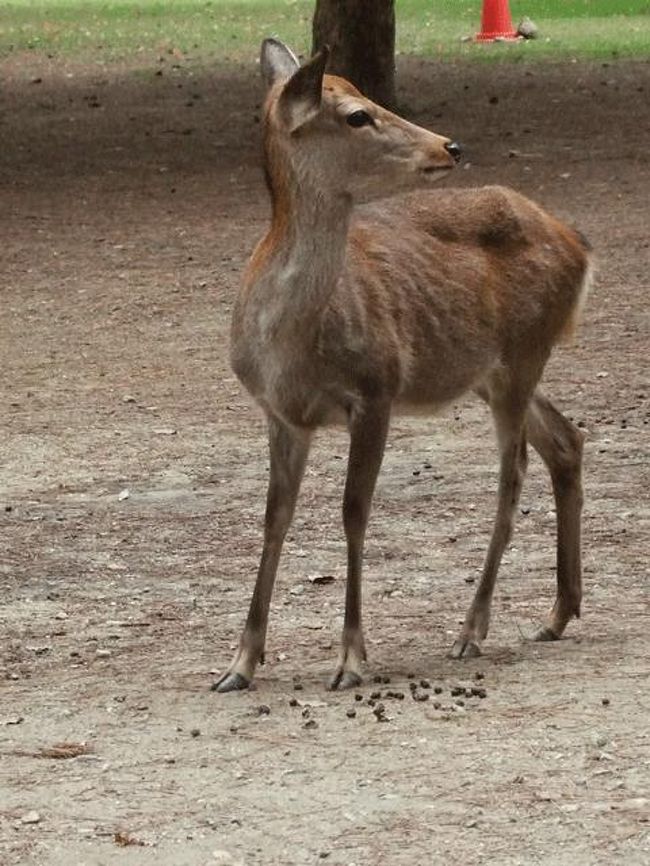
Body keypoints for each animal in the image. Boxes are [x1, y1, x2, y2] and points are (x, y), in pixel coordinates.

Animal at [214, 39, 591, 693]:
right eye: (356, 115)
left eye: (368, 96)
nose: (450, 146)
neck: (289, 343)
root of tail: (579, 246)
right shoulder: (280, 414)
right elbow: (273, 517)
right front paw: (239, 664)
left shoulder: (376, 389)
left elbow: (354, 512)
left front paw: (350, 659)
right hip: (493, 371)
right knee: (565, 441)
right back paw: (557, 613)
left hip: (524, 354)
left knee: (514, 470)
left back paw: (472, 628)